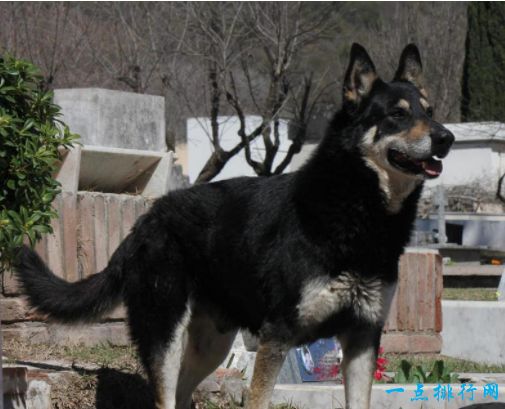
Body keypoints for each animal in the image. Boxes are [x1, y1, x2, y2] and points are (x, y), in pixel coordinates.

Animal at [14, 43, 454, 409]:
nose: (446, 137)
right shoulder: (278, 336)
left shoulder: (363, 337)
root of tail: (146, 220)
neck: (357, 208)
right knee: (166, 397)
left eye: (429, 111)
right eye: (397, 114)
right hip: (165, 334)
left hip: (214, 341)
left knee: (184, 395)